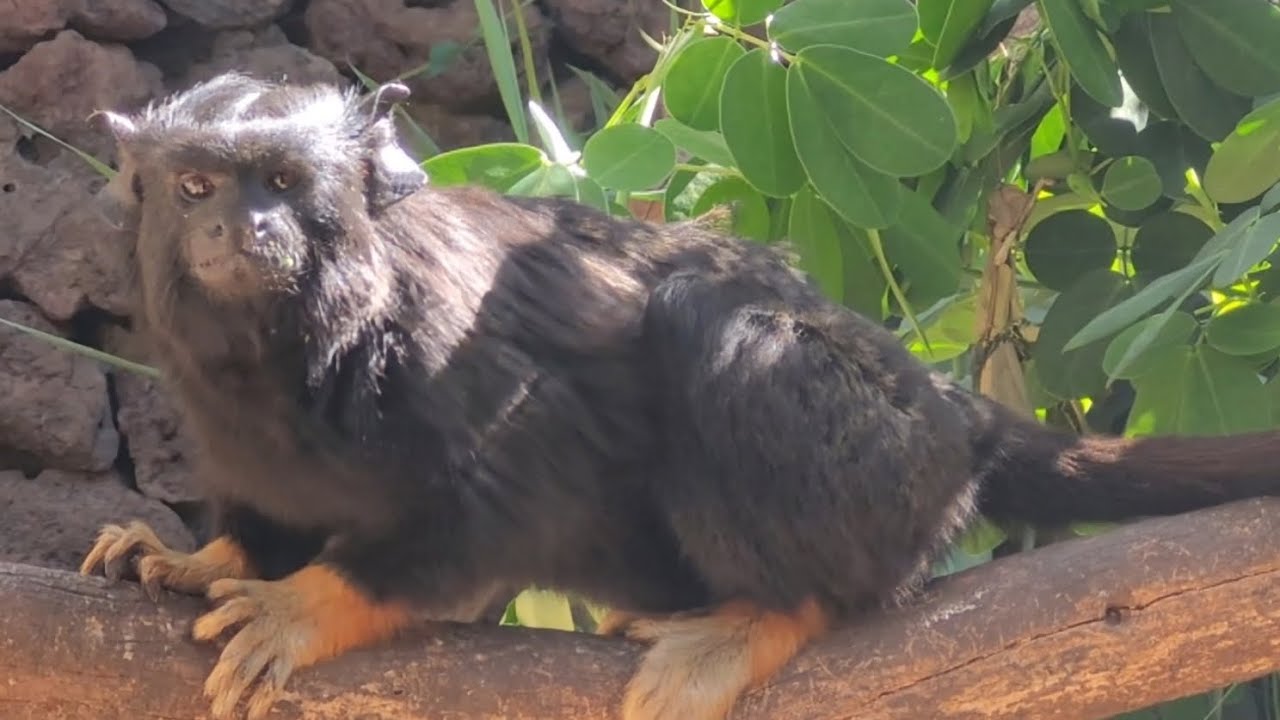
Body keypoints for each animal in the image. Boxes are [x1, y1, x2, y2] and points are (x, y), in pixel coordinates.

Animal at [77, 71, 1280, 720]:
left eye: (283, 184)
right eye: (196, 186)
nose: (246, 229)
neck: (295, 346)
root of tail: (952, 413)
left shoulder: (443, 356)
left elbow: (505, 500)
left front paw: (309, 601)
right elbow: (254, 511)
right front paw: (205, 556)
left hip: (885, 459)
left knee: (711, 325)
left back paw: (765, 615)